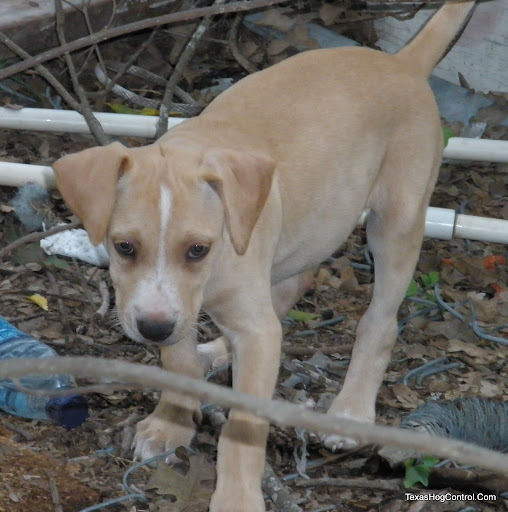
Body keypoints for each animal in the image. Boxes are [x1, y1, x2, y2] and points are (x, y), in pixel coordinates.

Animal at [54, 3, 476, 508]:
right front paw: (171, 422)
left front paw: (237, 496)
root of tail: (403, 62)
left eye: (198, 249)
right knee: (290, 289)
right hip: (311, 224)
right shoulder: (175, 306)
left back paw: (352, 411)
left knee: (379, 320)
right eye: (124, 247)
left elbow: (244, 424)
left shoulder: (216, 315)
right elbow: (178, 362)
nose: (153, 331)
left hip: (396, 222)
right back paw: (218, 350)